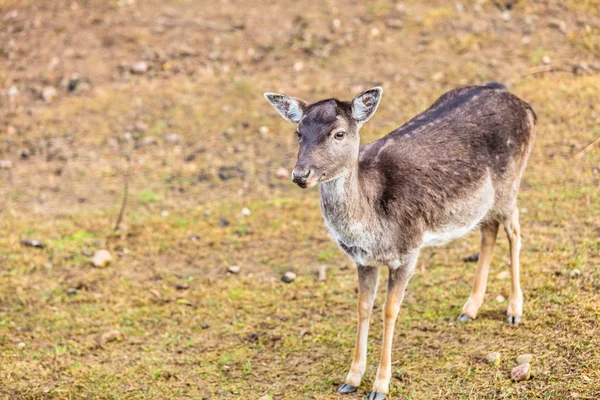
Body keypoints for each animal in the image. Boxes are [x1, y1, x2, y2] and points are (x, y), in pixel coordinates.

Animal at [264, 82, 536, 400]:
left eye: (339, 133)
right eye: (298, 131)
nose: (300, 174)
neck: (373, 222)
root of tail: (522, 103)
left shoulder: (409, 250)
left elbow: (389, 310)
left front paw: (380, 386)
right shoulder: (363, 260)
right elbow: (363, 307)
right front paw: (351, 379)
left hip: (510, 183)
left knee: (514, 228)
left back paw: (514, 311)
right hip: (484, 201)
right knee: (488, 229)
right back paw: (469, 310)